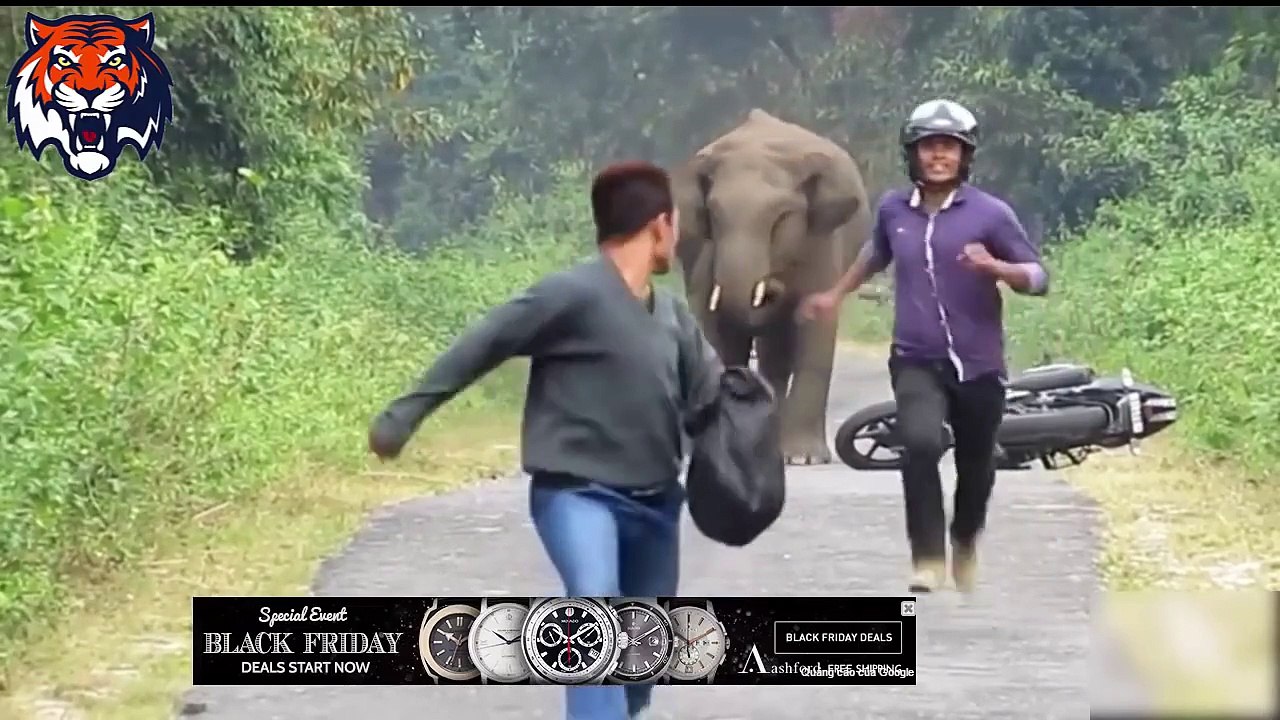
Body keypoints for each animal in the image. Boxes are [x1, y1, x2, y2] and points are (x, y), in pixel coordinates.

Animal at [673, 108, 872, 465]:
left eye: (781, 218)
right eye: (715, 216)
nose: (772, 289)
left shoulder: (821, 244)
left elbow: (816, 327)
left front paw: (804, 458)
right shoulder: (704, 254)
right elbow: (711, 326)